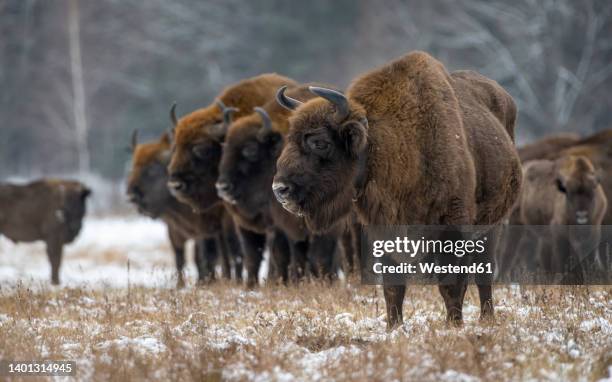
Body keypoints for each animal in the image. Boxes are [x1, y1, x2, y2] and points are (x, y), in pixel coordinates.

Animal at [126, 131, 241, 286]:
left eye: (152, 168)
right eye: (133, 167)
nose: (132, 196)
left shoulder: (202, 230)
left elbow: (200, 257)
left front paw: (202, 282)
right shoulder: (174, 231)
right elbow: (180, 259)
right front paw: (180, 285)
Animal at [274, 50, 520, 328]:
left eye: (320, 142)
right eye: (289, 139)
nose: (280, 188)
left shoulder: (453, 229)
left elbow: (451, 285)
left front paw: (453, 325)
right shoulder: (384, 231)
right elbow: (393, 288)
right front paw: (395, 327)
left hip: (492, 227)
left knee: (484, 275)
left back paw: (486, 318)